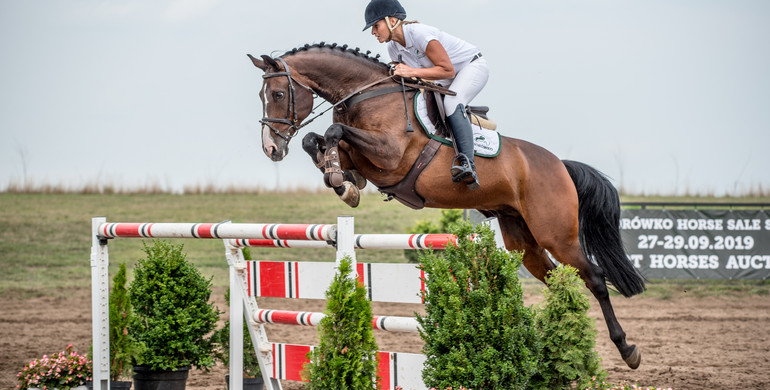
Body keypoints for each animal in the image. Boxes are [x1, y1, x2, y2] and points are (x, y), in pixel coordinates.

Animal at [246, 43, 640, 368]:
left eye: (278, 93)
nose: (271, 149)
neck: (370, 95)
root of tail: (560, 164)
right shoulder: (363, 154)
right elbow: (318, 141)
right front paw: (344, 181)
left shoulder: (389, 154)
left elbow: (333, 133)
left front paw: (341, 181)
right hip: (521, 237)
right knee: (557, 279)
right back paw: (557, 345)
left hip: (556, 233)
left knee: (594, 277)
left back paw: (626, 350)